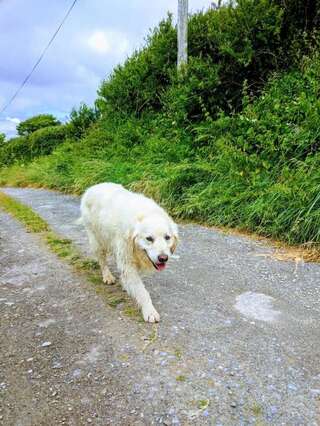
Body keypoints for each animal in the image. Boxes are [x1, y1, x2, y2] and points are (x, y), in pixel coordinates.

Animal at [79, 183, 179, 322]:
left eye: (167, 237)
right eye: (149, 238)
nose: (163, 258)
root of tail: (93, 186)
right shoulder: (126, 259)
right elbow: (142, 291)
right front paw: (149, 311)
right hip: (97, 241)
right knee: (102, 261)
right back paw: (107, 276)